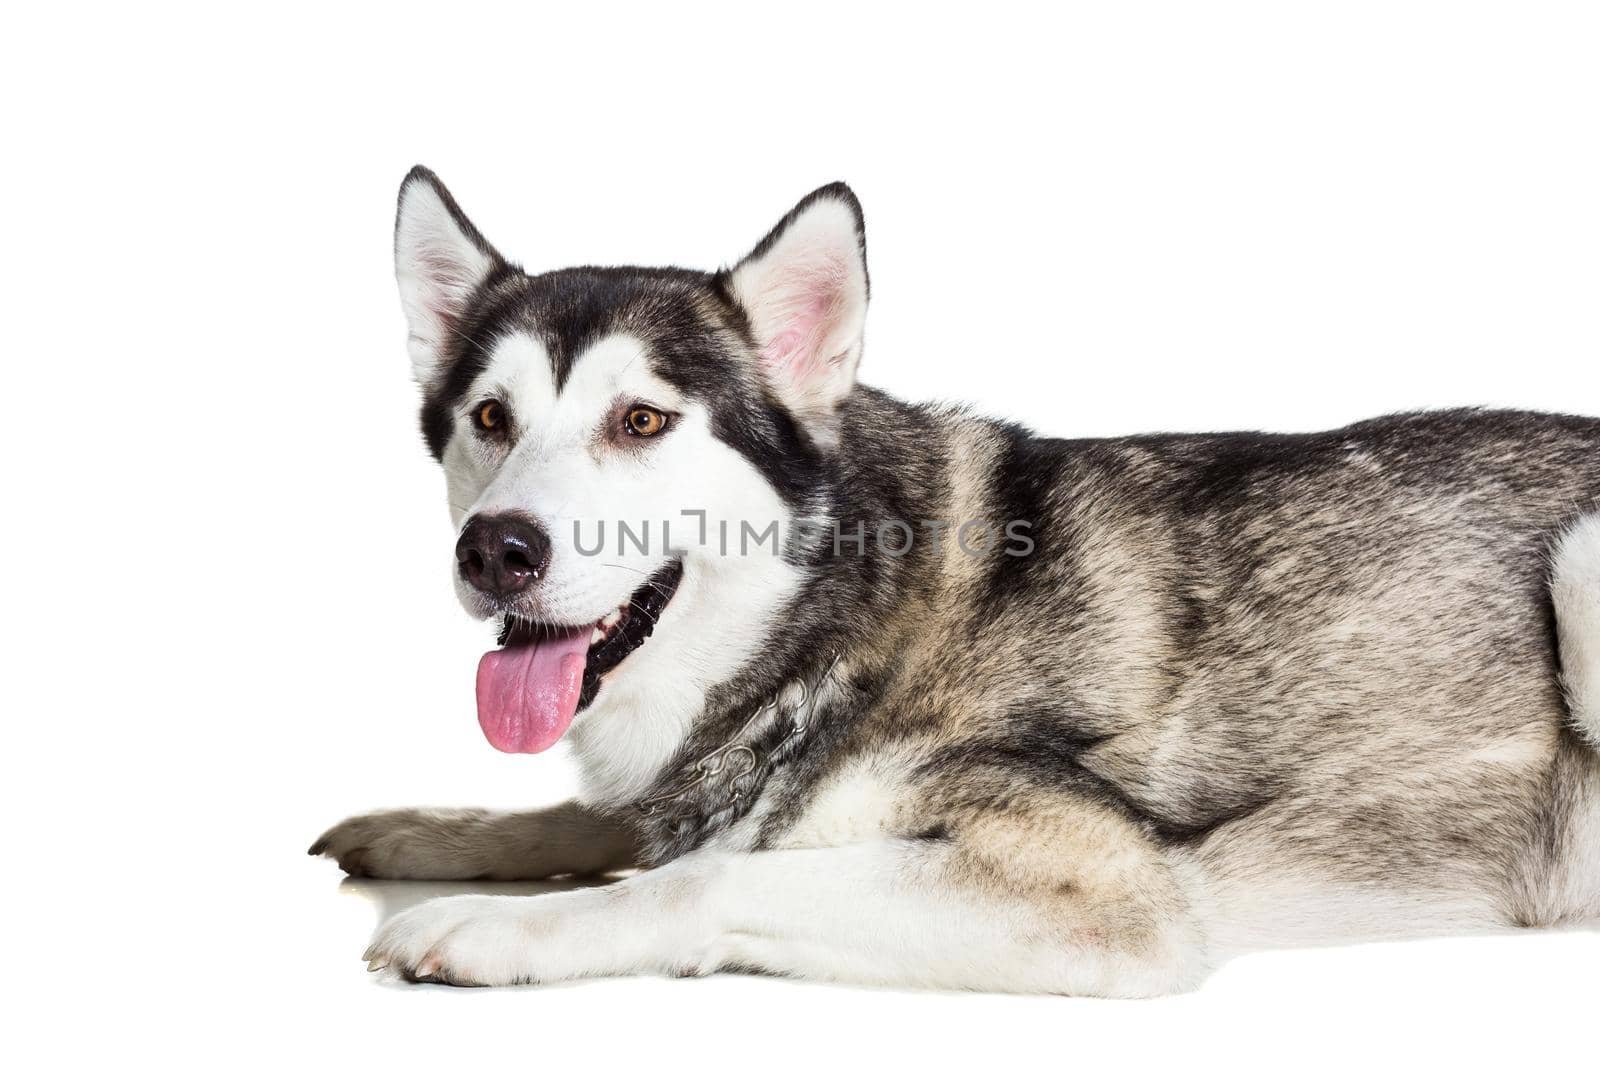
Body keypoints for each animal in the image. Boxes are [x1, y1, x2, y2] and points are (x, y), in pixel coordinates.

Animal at [312, 164, 1600, 991]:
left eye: (640, 420)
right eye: (490, 417)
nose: (496, 548)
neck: (842, 622)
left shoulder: (1107, 886)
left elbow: (696, 880)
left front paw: (491, 925)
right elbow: (596, 817)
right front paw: (425, 828)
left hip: (1580, 561)